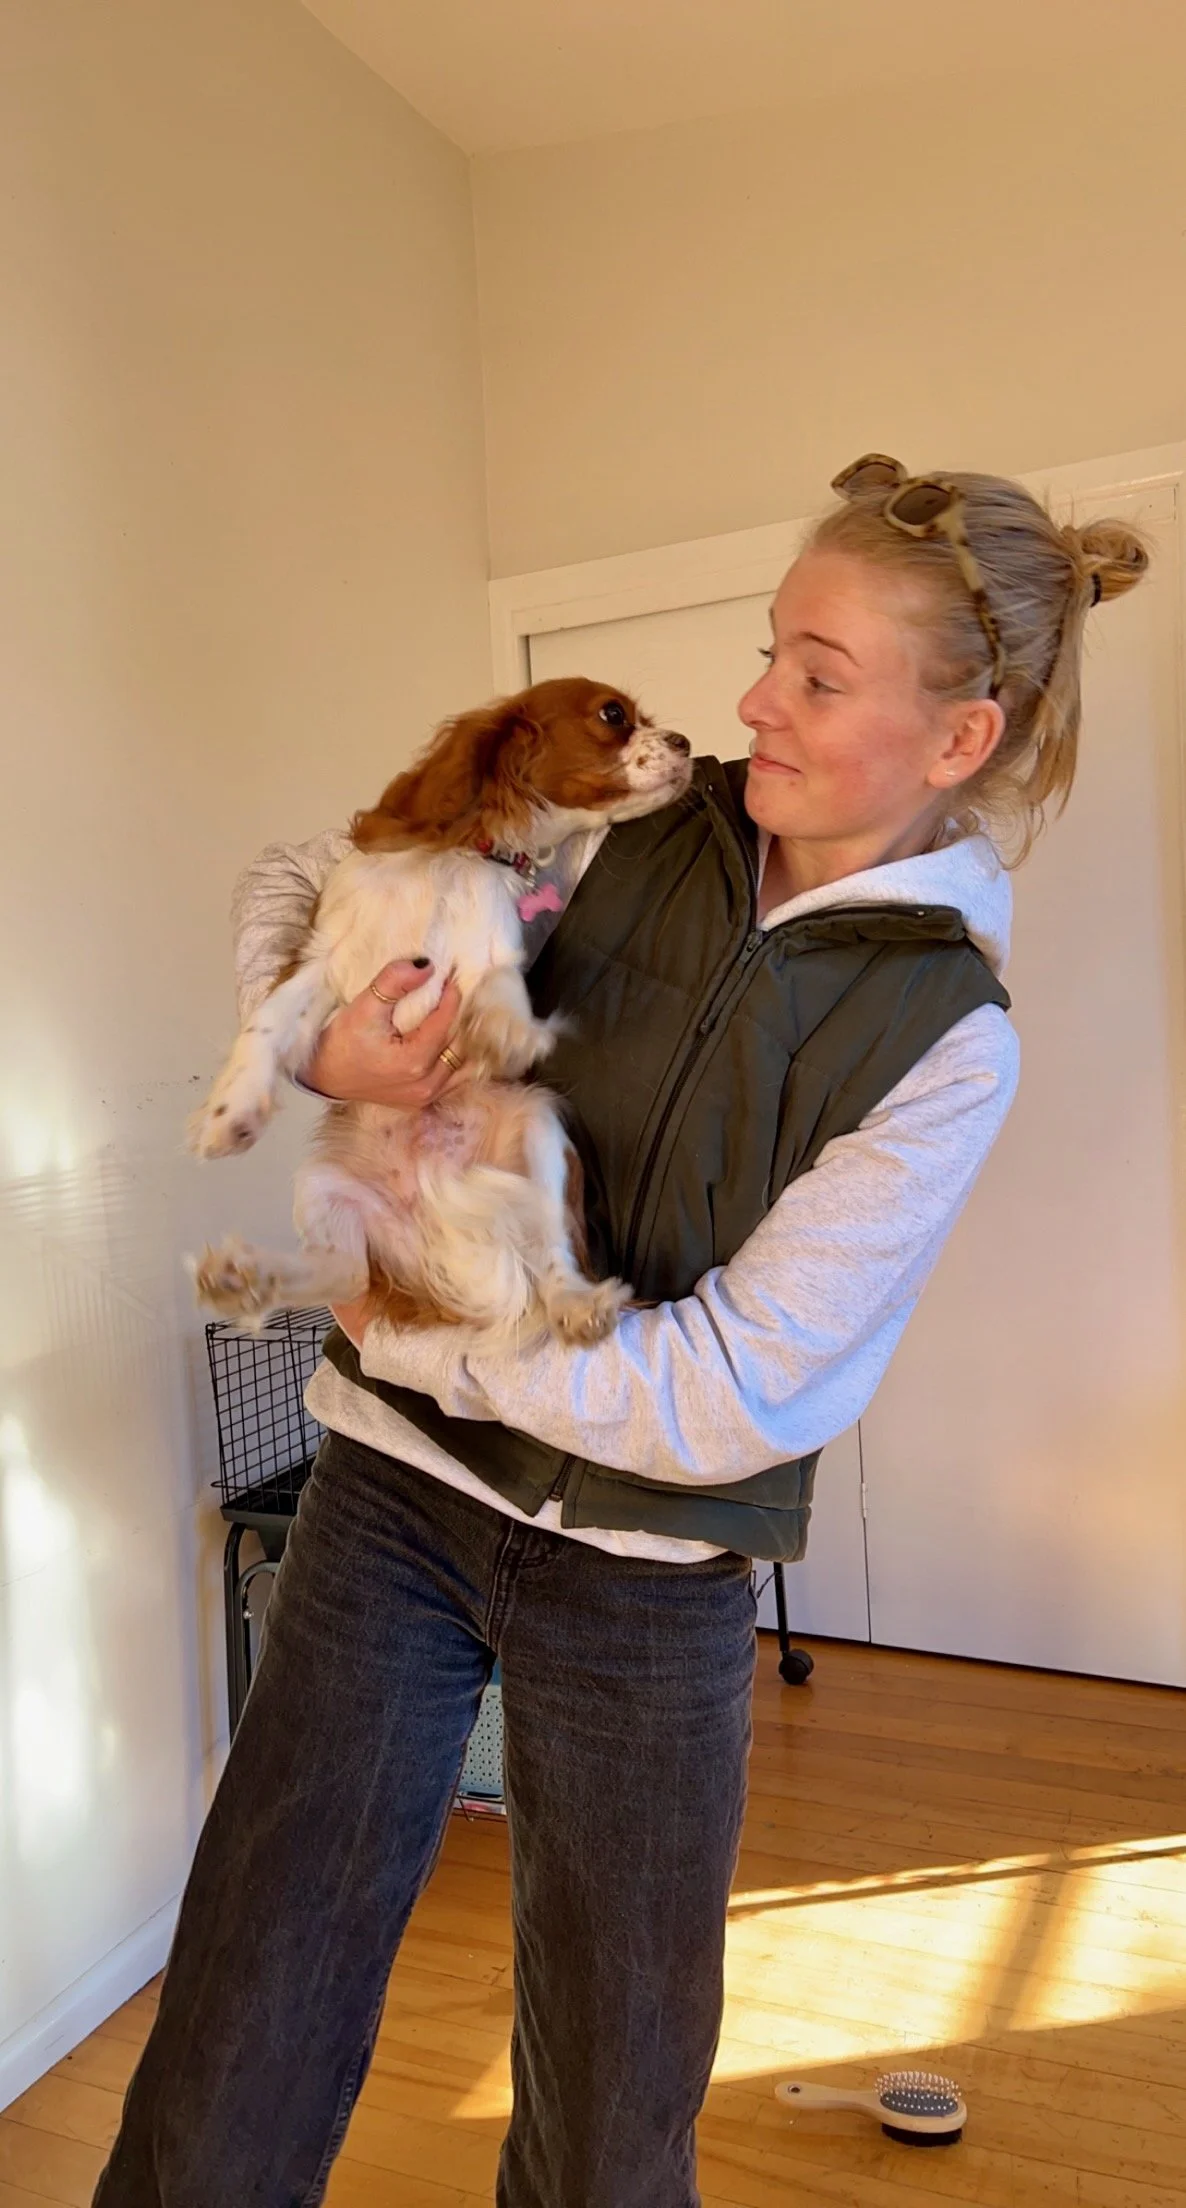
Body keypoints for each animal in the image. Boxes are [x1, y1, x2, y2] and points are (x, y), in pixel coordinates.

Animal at [188, 677, 692, 1343]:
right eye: (613, 715)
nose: (685, 741)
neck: (457, 858)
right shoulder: (320, 958)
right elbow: (266, 1025)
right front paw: (231, 1113)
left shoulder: (493, 953)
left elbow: (500, 987)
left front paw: (503, 1033)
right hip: (321, 1182)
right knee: (344, 1272)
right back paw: (245, 1279)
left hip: (539, 1130)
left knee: (553, 1252)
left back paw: (577, 1304)